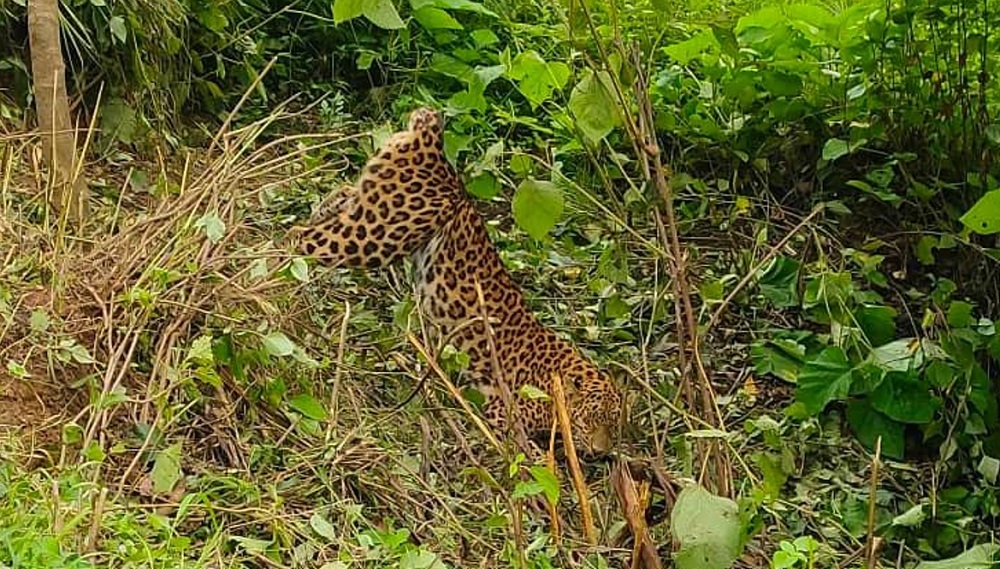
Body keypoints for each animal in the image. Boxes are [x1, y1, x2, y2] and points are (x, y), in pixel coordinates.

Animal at [290, 107, 620, 458]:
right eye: (589, 419)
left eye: (614, 426)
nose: (601, 451)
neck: (556, 377)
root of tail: (433, 139)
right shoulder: (503, 409)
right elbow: (527, 448)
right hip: (378, 234)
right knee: (300, 237)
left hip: (370, 209)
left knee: (339, 197)